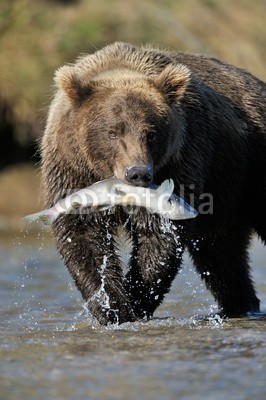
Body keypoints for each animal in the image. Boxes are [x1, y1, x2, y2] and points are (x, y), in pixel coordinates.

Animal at [40, 42, 264, 324]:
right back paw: (240, 305)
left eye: (151, 133)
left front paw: (135, 301)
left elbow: (158, 237)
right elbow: (82, 235)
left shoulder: (180, 163)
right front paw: (113, 307)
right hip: (227, 191)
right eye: (112, 132)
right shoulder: (72, 171)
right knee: (222, 255)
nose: (138, 173)